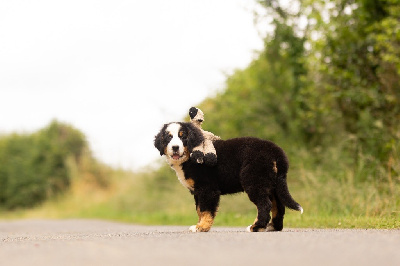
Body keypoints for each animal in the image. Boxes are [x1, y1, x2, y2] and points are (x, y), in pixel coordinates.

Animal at [154, 121, 304, 232]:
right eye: (168, 137)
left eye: (183, 136)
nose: (175, 147)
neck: (190, 155)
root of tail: (275, 150)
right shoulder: (197, 191)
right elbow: (199, 210)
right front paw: (199, 225)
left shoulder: (208, 189)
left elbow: (205, 210)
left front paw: (201, 227)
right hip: (271, 183)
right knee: (278, 206)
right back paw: (273, 227)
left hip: (254, 181)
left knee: (265, 205)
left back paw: (256, 227)